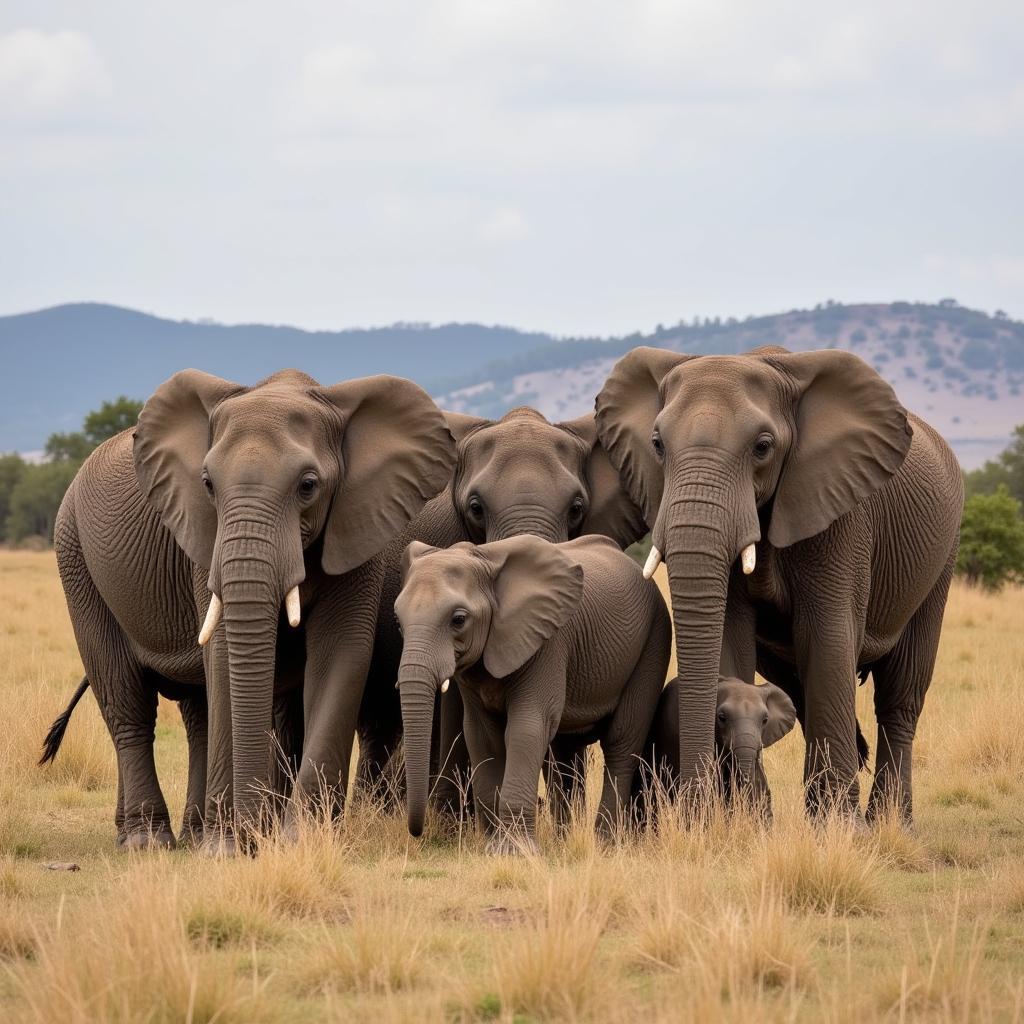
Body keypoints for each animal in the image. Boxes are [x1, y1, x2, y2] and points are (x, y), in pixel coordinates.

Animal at [49, 368, 452, 847]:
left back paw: (188, 835)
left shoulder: (359, 524)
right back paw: (148, 842)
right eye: (207, 484)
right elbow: (224, 655)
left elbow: (341, 654)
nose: (252, 834)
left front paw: (301, 840)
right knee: (128, 705)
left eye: (308, 486)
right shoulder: (203, 539)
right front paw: (226, 848)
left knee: (196, 714)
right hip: (76, 559)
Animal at [391, 532, 671, 851]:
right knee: (563, 754)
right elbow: (481, 734)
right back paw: (564, 841)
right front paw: (492, 846)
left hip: (654, 640)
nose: (417, 832)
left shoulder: (548, 641)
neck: (485, 561)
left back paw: (605, 844)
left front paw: (514, 851)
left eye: (458, 619)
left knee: (621, 742)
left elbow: (527, 727)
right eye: (398, 621)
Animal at [598, 348, 962, 819]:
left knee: (900, 696)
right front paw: (738, 818)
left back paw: (889, 823)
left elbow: (828, 636)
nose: (696, 804)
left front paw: (838, 827)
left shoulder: (841, 514)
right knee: (802, 689)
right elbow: (732, 633)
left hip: (942, 558)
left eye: (763, 448)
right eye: (657, 444)